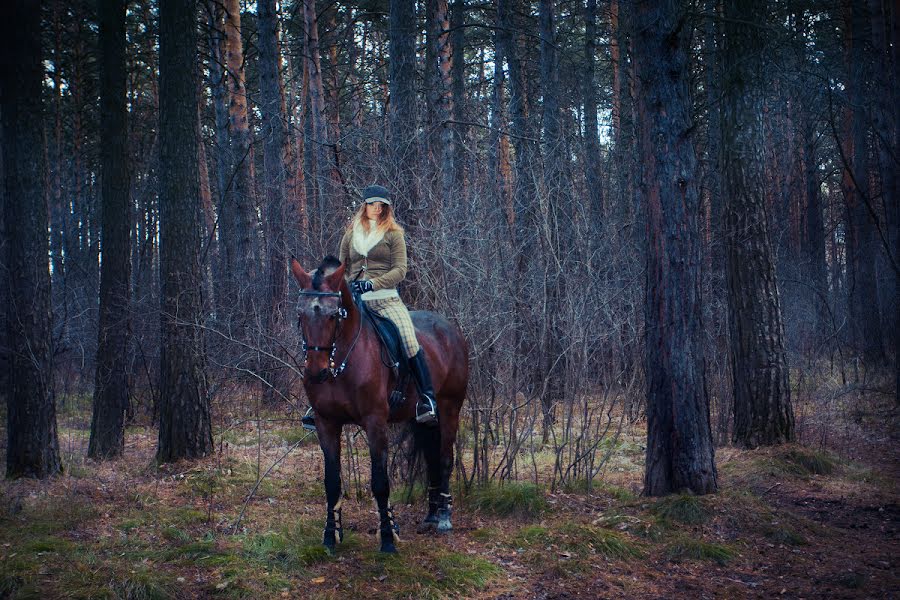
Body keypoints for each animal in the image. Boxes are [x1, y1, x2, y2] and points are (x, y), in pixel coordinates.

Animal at [290, 258, 472, 552]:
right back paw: (432, 514)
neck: (342, 361)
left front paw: (387, 538)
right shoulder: (326, 423)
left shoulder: (375, 422)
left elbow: (379, 481)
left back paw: (444, 517)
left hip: (449, 407)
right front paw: (331, 536)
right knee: (431, 457)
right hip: (421, 418)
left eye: (333, 315)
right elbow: (332, 482)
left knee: (444, 457)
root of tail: (449, 328)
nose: (316, 373)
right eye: (300, 314)